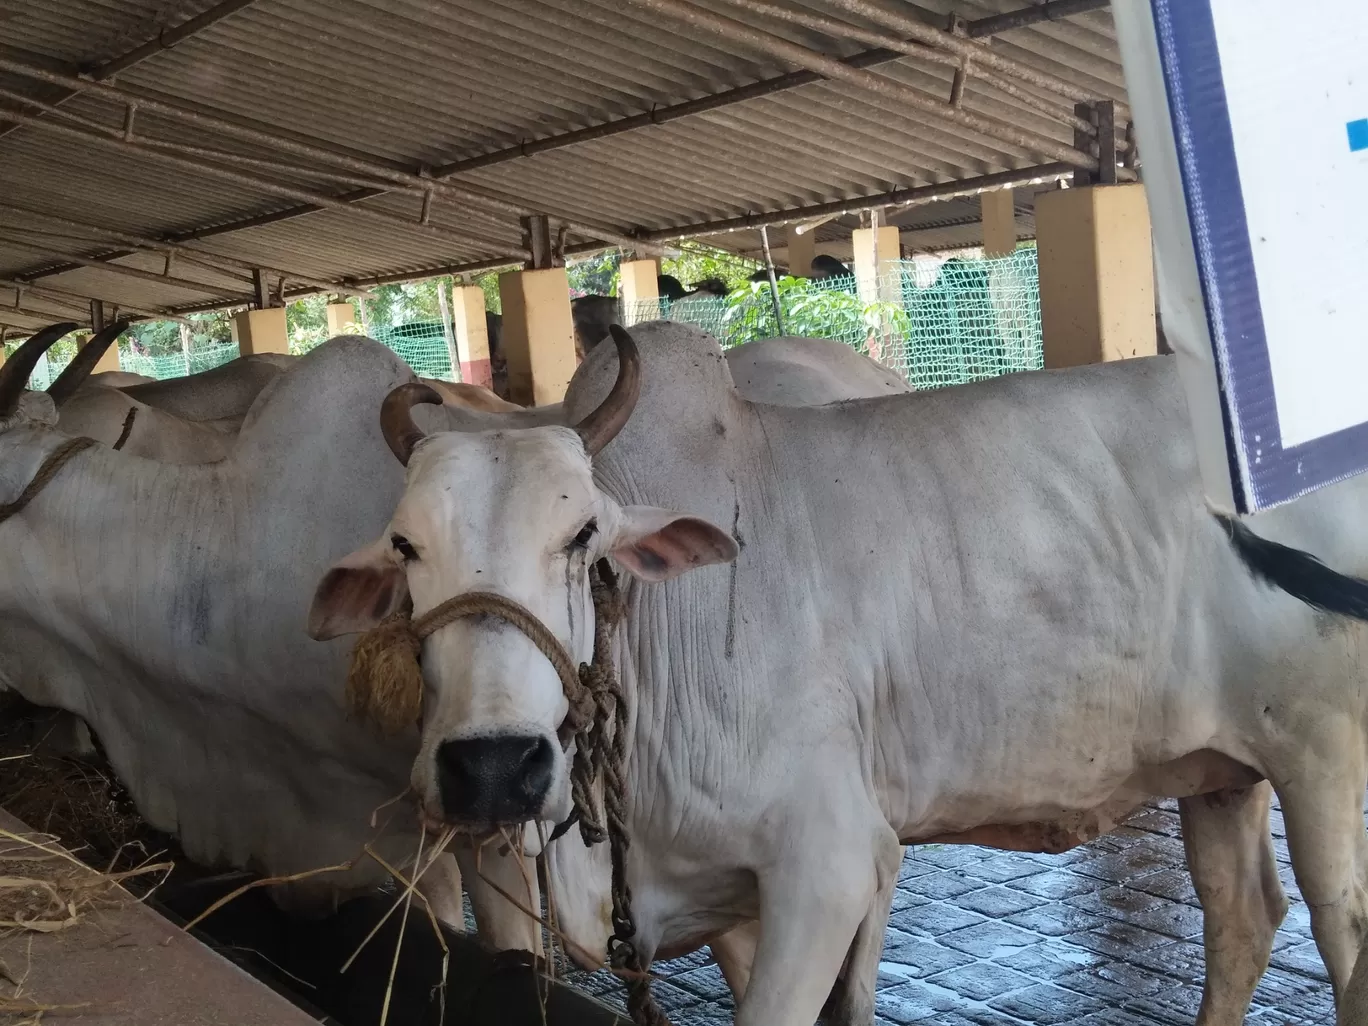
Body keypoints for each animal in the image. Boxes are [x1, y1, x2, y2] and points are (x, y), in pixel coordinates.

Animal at [314, 322, 1368, 1026]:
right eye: (406, 546)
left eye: (583, 537)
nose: (494, 767)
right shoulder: (735, 898)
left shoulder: (829, 862)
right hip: (1223, 767)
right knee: (1242, 917)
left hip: (1322, 753)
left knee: (1343, 936)